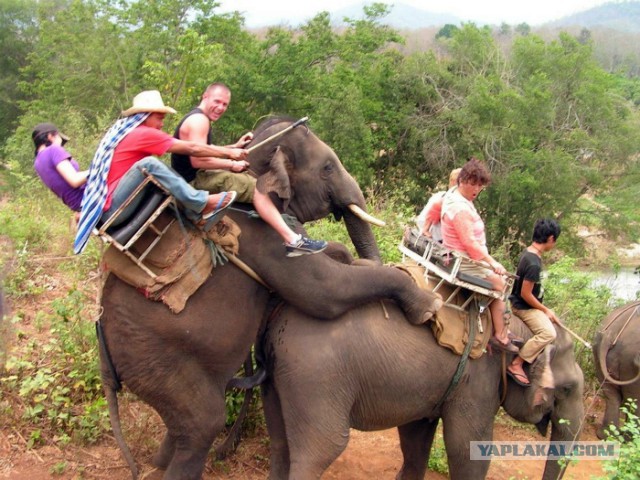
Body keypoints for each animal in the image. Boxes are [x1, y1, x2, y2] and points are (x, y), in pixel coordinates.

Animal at [97, 117, 442, 480]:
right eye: (327, 168)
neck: (254, 162)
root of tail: (106, 363)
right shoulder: (265, 236)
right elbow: (323, 291)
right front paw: (429, 307)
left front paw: (344, 255)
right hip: (156, 358)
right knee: (202, 423)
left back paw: (159, 464)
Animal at [260, 278, 584, 480]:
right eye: (567, 389)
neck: (515, 324)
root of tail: (277, 319)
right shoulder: (478, 384)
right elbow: (467, 448)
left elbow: (416, 438)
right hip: (317, 379)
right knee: (322, 448)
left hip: (282, 378)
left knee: (280, 443)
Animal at [592, 302, 636, 440]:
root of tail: (610, 334)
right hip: (631, 361)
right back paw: (628, 439)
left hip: (598, 351)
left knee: (611, 394)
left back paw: (606, 435)